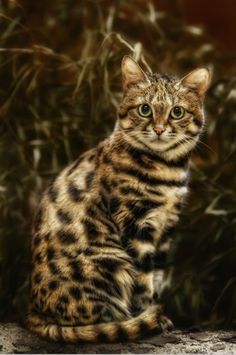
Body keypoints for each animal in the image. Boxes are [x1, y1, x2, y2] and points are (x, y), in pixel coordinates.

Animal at [25, 57, 210, 344]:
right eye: (145, 109)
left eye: (177, 112)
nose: (159, 129)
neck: (166, 170)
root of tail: (35, 315)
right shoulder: (135, 224)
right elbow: (143, 281)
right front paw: (148, 316)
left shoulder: (166, 228)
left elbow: (156, 277)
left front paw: (156, 312)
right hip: (108, 260)